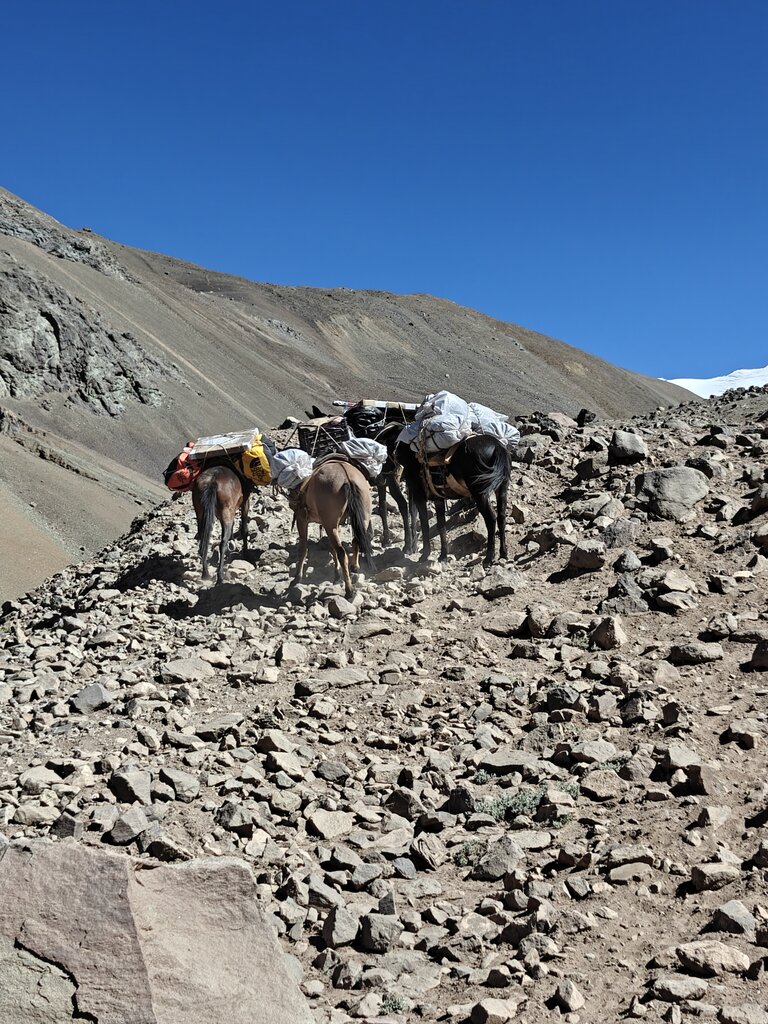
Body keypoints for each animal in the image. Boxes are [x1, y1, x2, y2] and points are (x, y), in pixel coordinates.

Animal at [290, 458, 373, 598]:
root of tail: (347, 478)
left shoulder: (302, 518)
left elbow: (302, 548)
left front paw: (297, 578)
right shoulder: (335, 524)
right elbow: (332, 549)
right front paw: (336, 574)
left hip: (330, 523)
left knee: (341, 552)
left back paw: (349, 590)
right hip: (362, 517)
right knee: (355, 541)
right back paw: (354, 567)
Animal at [396, 435, 511, 565]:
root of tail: (497, 447)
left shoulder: (418, 495)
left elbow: (424, 524)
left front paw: (424, 555)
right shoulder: (438, 498)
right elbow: (441, 526)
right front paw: (443, 556)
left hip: (481, 493)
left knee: (491, 519)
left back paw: (489, 557)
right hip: (502, 488)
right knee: (501, 517)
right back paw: (503, 553)